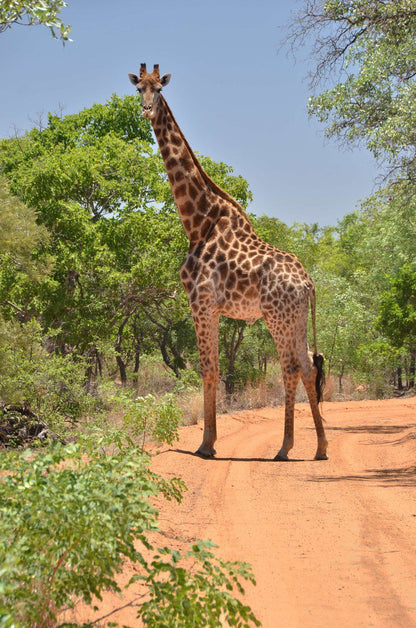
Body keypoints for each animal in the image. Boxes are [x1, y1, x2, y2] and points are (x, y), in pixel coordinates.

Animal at [128, 63, 330, 462]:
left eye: (159, 89)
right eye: (139, 87)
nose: (145, 110)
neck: (196, 222)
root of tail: (308, 283)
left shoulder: (201, 302)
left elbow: (208, 369)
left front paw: (207, 444)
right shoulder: (212, 307)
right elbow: (214, 367)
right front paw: (209, 441)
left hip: (277, 316)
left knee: (290, 367)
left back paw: (285, 447)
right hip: (296, 318)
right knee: (307, 365)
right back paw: (320, 448)